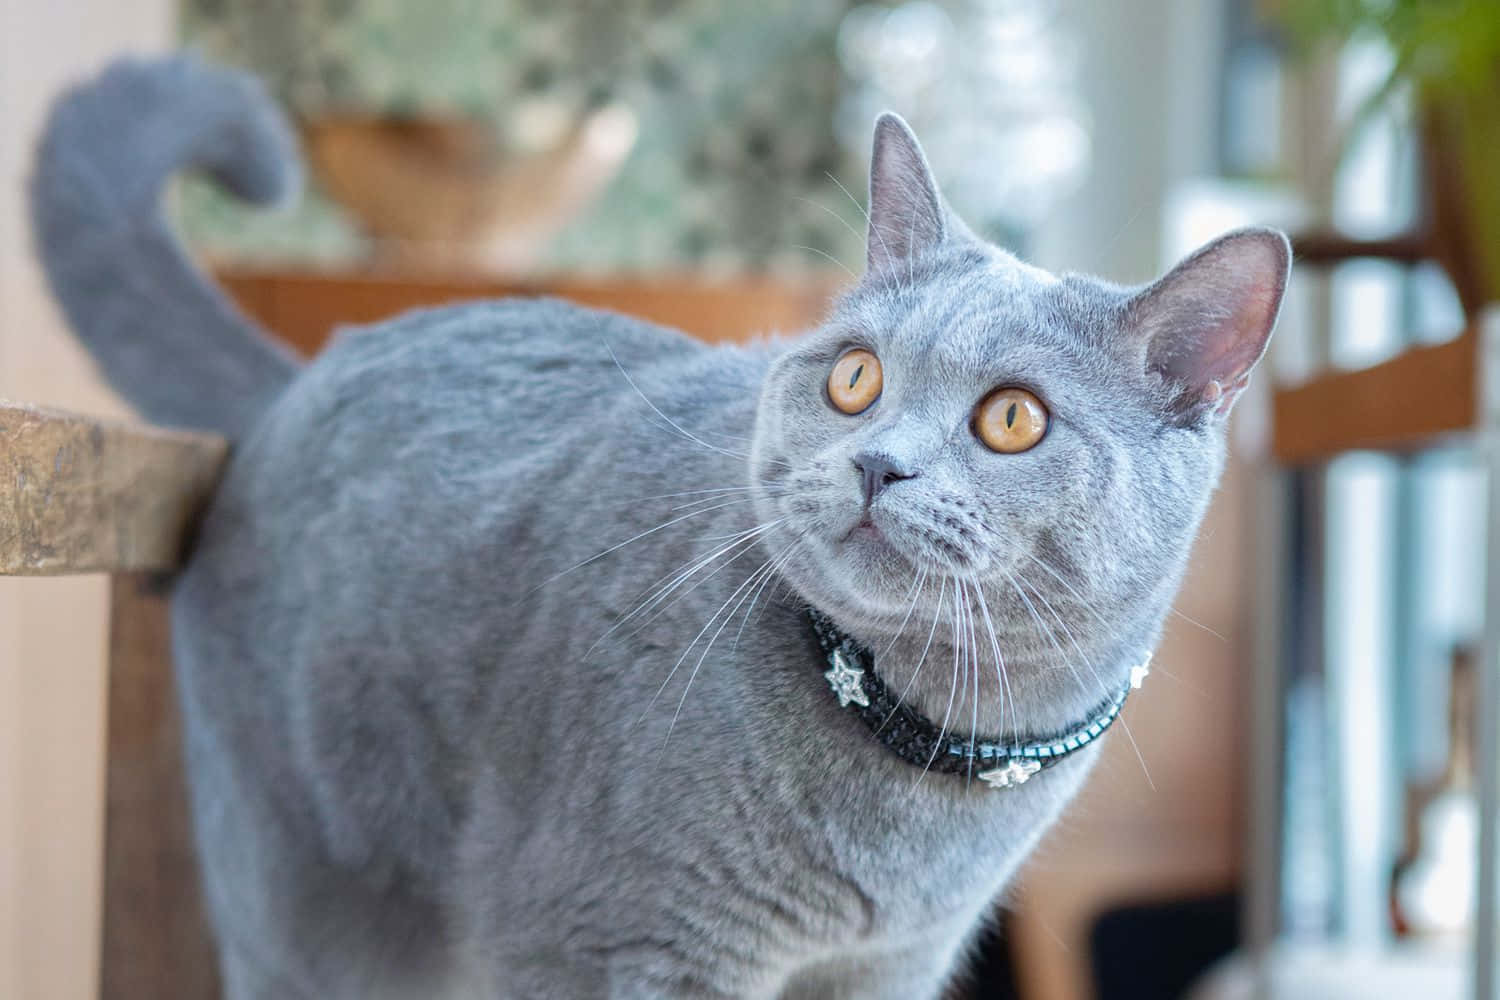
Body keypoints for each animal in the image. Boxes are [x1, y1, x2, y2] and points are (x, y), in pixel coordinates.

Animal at [26, 56, 1290, 1000]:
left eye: (1013, 417)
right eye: (856, 379)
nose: (877, 461)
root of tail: (301, 369)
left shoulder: (887, 965)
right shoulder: (614, 944)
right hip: (311, 897)